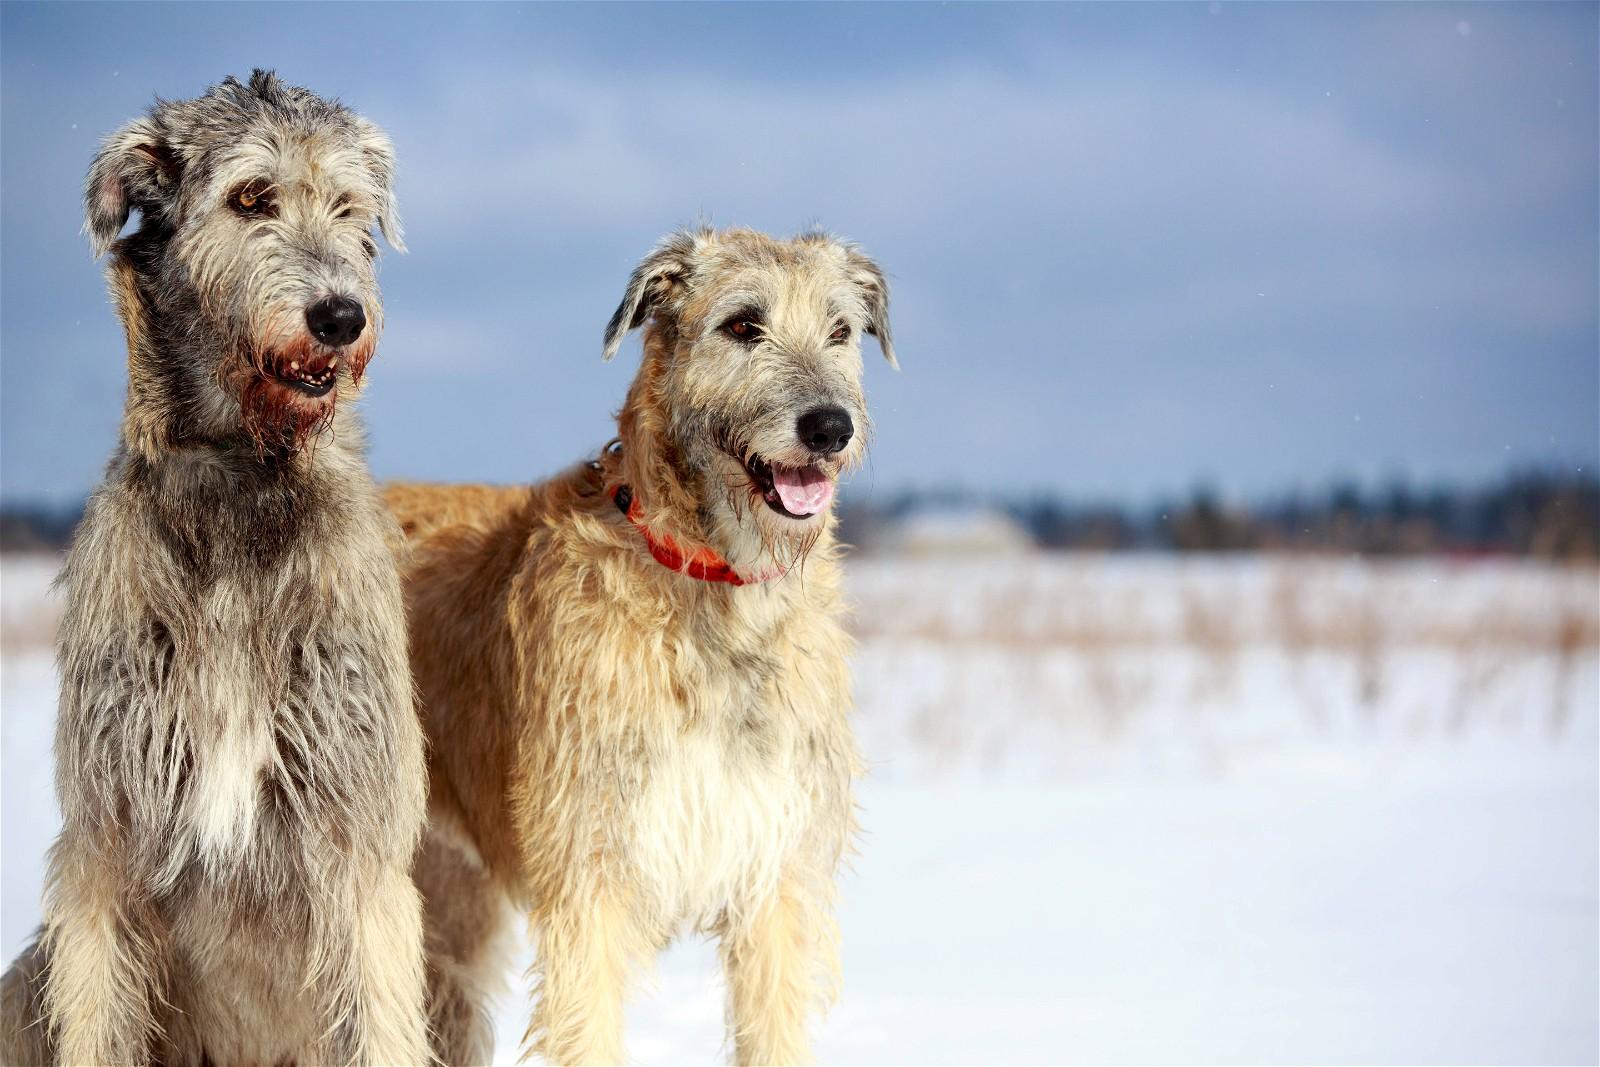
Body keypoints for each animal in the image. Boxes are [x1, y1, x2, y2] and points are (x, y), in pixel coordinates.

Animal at [0, 70, 428, 1062]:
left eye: (347, 205)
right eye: (250, 197)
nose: (341, 316)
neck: (241, 474)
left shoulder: (359, 832)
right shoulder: (105, 841)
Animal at [382, 230, 896, 1062]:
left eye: (841, 330)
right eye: (742, 324)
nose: (829, 427)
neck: (713, 587)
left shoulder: (775, 874)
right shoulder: (589, 873)